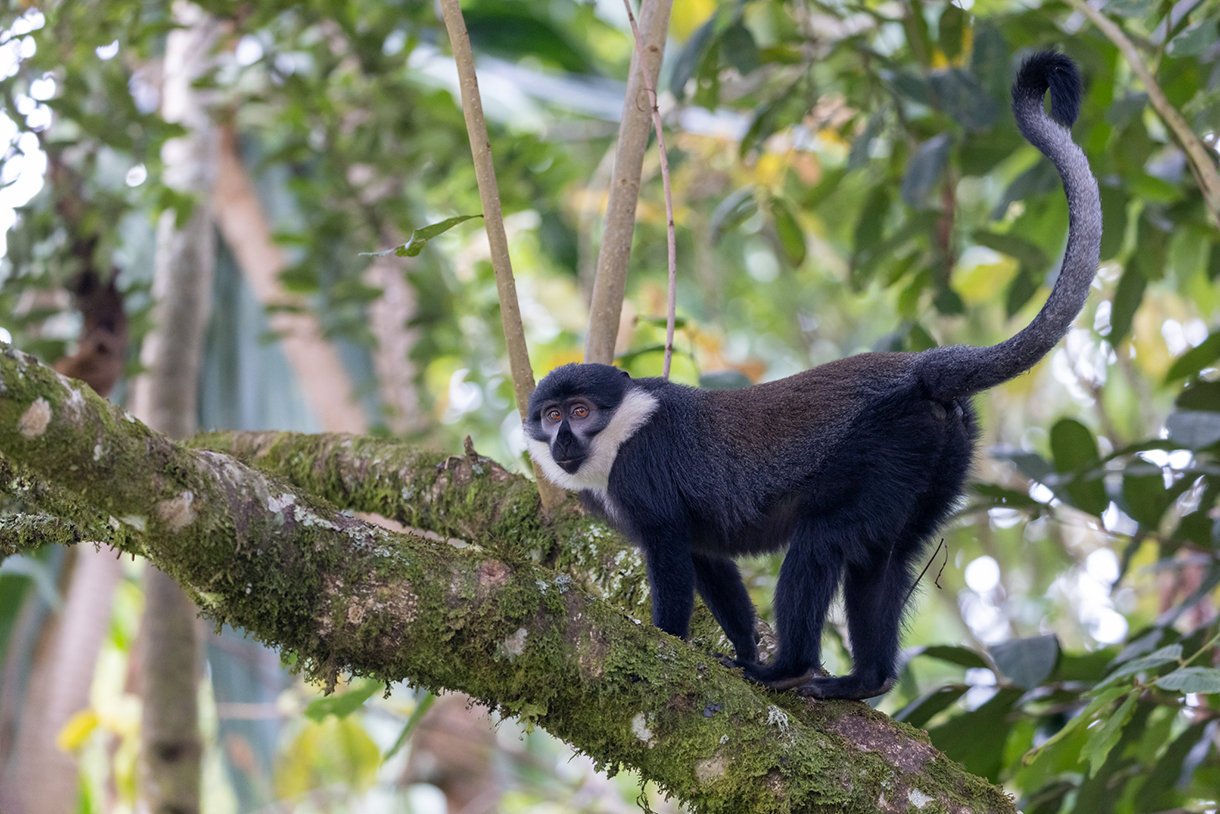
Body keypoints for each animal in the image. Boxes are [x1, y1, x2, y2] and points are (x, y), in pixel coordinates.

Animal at [524, 52, 1107, 702]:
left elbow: (675, 562)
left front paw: (668, 647)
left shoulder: (642, 477)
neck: (620, 427)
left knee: (820, 539)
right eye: (551, 416)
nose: (564, 440)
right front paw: (742, 647)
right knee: (883, 560)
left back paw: (789, 667)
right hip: (934, 458)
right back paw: (865, 680)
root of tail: (919, 369)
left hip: (883, 448)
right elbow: (709, 562)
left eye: (580, 412)